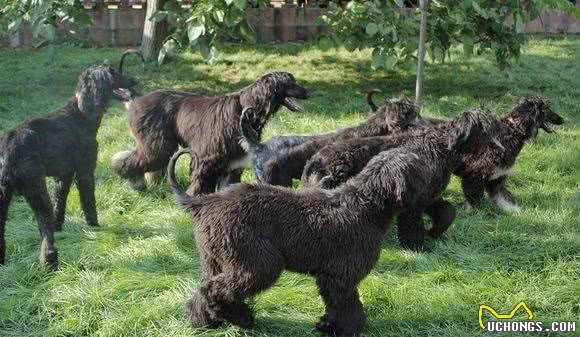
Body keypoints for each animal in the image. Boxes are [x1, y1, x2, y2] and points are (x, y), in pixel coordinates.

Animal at [0, 63, 137, 268]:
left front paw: (59, 226)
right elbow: (88, 202)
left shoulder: (64, 175)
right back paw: (50, 261)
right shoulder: (85, 171)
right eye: (113, 72)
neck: (81, 113)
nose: (135, 80)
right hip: (36, 191)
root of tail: (8, 147)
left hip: (3, 196)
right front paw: (94, 225)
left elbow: (60, 202)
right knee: (45, 231)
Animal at [112, 71, 308, 192]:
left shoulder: (233, 161)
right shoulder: (208, 156)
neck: (245, 109)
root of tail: (137, 99)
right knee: (131, 160)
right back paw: (133, 181)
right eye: (290, 82)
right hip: (159, 142)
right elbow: (200, 181)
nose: (308, 92)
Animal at [167, 145, 430, 336]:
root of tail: (204, 202)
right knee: (216, 290)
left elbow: (336, 306)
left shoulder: (331, 278)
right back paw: (243, 318)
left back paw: (205, 322)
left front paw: (327, 325)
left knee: (202, 291)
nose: (433, 180)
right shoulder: (340, 277)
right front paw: (350, 329)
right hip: (258, 262)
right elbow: (348, 306)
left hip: (215, 259)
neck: (366, 207)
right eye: (418, 167)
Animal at [302, 108, 500, 249]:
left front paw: (435, 232)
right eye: (488, 132)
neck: (441, 146)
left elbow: (447, 212)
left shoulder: (428, 197)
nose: (501, 150)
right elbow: (412, 227)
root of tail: (315, 160)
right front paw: (417, 247)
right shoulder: (413, 204)